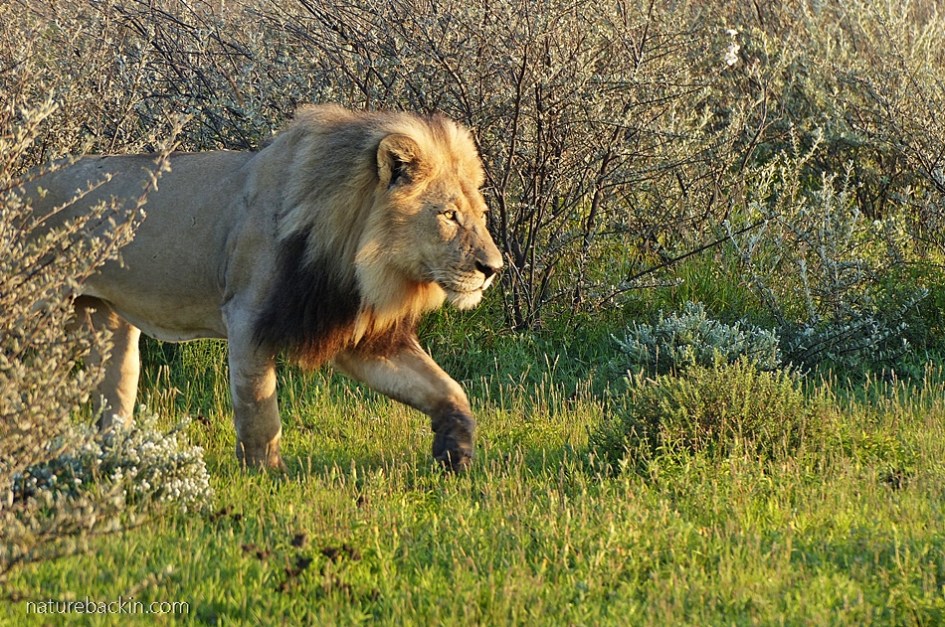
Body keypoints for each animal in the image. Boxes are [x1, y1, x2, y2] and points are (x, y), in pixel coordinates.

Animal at [25, 104, 503, 471]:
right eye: (449, 215)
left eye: (479, 214)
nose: (493, 268)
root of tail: (19, 183)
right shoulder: (246, 317)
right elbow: (258, 405)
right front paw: (266, 475)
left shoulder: (357, 335)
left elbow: (445, 388)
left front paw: (456, 454)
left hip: (104, 318)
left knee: (114, 393)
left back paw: (118, 459)